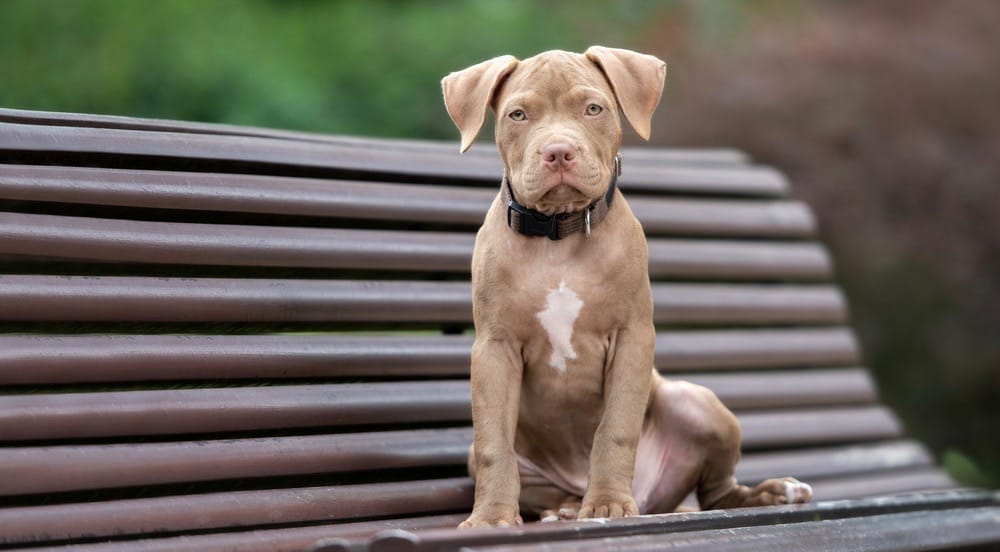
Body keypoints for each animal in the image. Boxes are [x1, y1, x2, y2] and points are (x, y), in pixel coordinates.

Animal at [442, 46, 808, 528]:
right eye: (518, 115)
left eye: (593, 109)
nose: (558, 152)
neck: (559, 235)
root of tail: (657, 503)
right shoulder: (494, 349)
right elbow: (493, 444)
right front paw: (491, 516)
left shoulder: (632, 337)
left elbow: (615, 429)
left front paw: (609, 504)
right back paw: (564, 508)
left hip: (697, 402)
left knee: (718, 493)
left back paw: (772, 492)